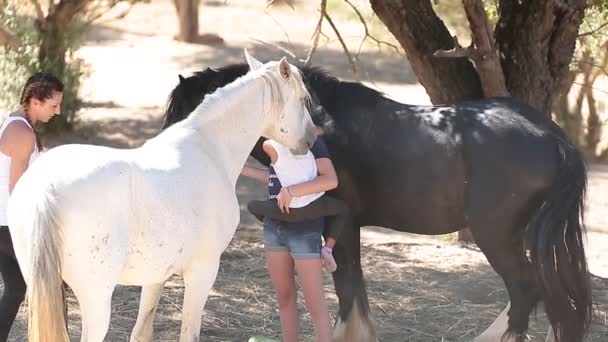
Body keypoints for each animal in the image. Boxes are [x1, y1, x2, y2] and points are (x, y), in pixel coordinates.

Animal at [8, 50, 318, 342]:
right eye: (304, 99)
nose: (312, 138)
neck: (208, 148)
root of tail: (47, 189)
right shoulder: (203, 271)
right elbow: (188, 333)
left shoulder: (155, 276)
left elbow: (141, 331)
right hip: (96, 300)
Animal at [176, 64, 588, 342]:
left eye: (185, 111)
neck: (325, 124)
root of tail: (554, 138)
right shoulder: (350, 227)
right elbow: (354, 287)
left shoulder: (337, 224)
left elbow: (346, 289)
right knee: (552, 298)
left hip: (495, 235)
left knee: (525, 290)